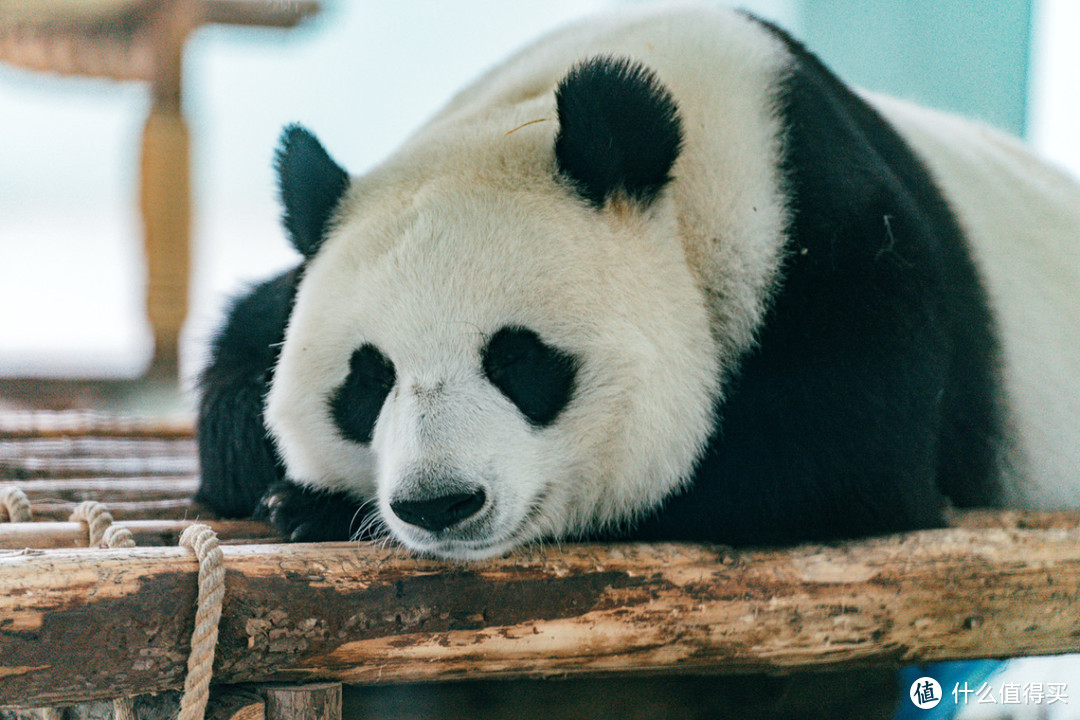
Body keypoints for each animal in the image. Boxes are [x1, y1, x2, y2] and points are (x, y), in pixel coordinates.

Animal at [198, 2, 1080, 561]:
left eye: (519, 360)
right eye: (368, 379)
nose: (439, 505)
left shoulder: (832, 233)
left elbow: (837, 459)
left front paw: (313, 506)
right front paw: (278, 479)